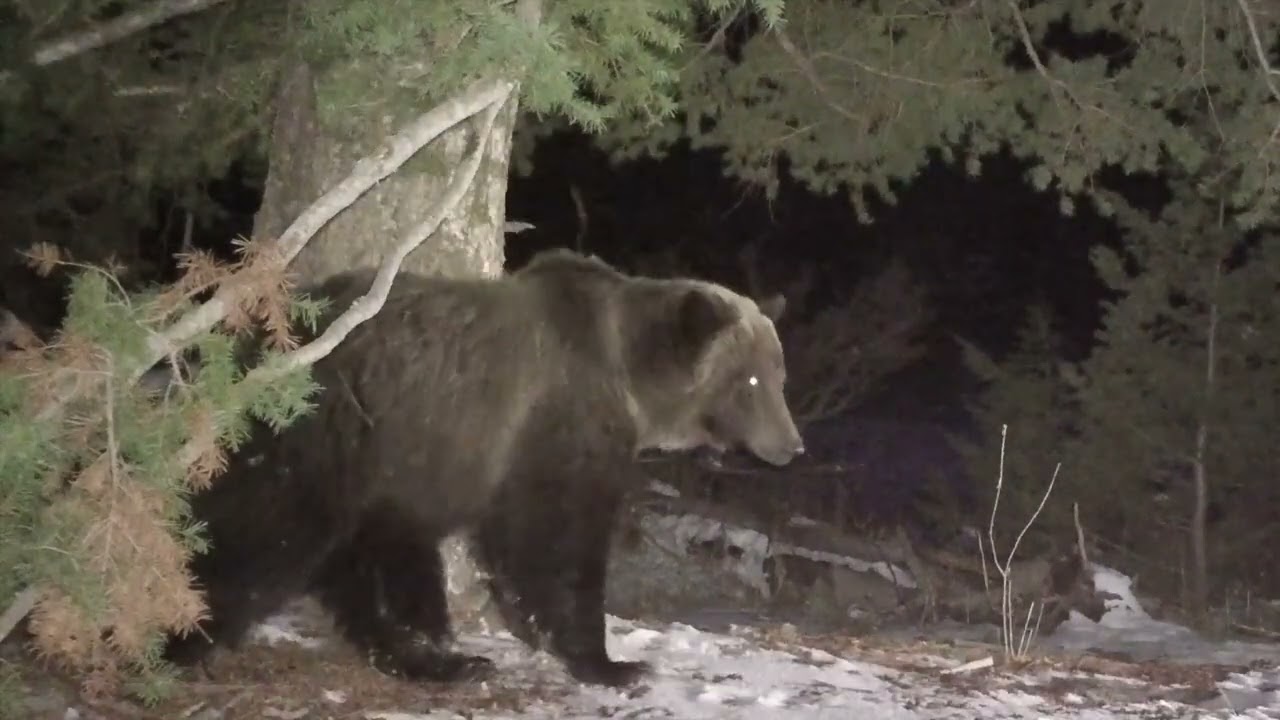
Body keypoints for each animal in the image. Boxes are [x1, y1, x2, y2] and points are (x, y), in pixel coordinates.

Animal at [163, 247, 805, 688]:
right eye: (749, 380)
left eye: (778, 374)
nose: (793, 445)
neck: (631, 386)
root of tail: (265, 340)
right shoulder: (558, 426)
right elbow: (559, 542)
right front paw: (611, 662)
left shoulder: (501, 457)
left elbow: (513, 543)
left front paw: (531, 628)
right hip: (326, 431)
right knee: (266, 527)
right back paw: (182, 637)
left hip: (380, 461)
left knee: (364, 557)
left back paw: (438, 656)